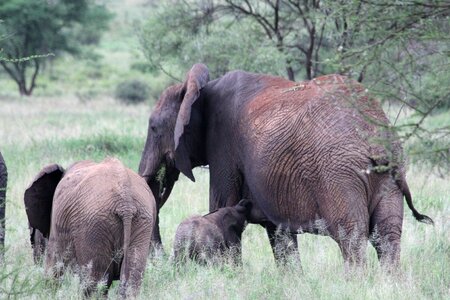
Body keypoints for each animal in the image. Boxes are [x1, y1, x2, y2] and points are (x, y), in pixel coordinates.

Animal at [25, 158, 158, 296]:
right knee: (131, 281)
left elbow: (53, 269)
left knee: (94, 284)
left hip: (94, 225)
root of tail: (125, 202)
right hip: (141, 221)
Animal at [140, 63, 432, 270]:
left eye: (153, 128)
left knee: (351, 237)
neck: (200, 89)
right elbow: (278, 233)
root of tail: (375, 135)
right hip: (388, 175)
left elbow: (220, 205)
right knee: (387, 238)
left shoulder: (223, 148)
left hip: (338, 173)